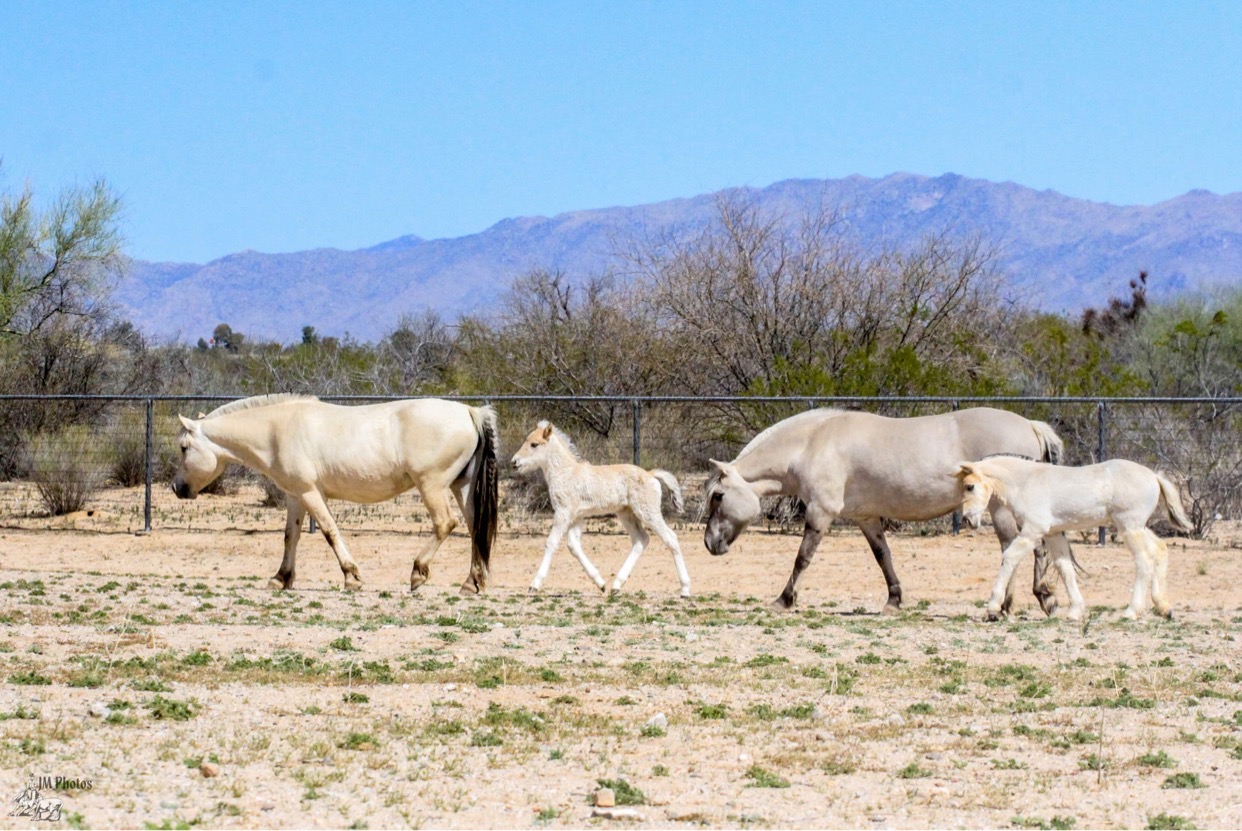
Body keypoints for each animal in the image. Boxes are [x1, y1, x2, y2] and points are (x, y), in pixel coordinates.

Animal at [172, 395, 499, 594]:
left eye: (184, 447)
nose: (177, 488)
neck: (275, 430)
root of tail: (470, 412)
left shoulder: (310, 493)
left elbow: (330, 531)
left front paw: (351, 577)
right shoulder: (296, 496)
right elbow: (291, 536)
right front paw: (280, 578)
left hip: (432, 486)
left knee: (445, 524)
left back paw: (418, 573)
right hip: (461, 487)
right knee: (475, 528)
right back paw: (471, 583)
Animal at [512, 421, 692, 597]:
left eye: (534, 444)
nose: (514, 462)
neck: (566, 473)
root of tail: (651, 474)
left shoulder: (563, 512)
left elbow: (551, 543)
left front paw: (534, 585)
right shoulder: (576, 517)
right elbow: (573, 546)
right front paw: (601, 584)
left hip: (648, 512)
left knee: (671, 538)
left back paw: (685, 589)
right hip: (626, 514)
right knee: (641, 540)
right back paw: (616, 586)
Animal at [703, 406, 1073, 612]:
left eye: (718, 496)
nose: (709, 544)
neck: (811, 445)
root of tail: (1029, 425)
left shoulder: (820, 513)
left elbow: (802, 558)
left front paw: (783, 600)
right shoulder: (866, 518)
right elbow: (884, 557)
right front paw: (893, 601)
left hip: (1003, 511)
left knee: (1021, 549)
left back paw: (1027, 602)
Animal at [956, 456, 1192, 620]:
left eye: (970, 486)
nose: (967, 520)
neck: (1025, 482)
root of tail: (1154, 476)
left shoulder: (1033, 531)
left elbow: (1009, 557)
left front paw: (992, 608)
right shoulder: (1053, 534)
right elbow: (1065, 568)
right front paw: (1075, 611)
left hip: (1129, 528)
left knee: (1144, 561)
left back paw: (1131, 611)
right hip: (1138, 528)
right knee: (1160, 550)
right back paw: (1164, 608)